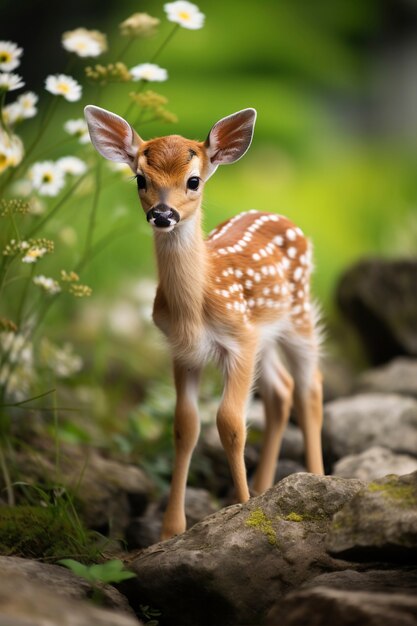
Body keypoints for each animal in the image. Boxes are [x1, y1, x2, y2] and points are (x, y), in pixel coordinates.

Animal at [84, 105, 324, 540]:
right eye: (140, 179)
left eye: (193, 181)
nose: (163, 214)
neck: (195, 309)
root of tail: (285, 218)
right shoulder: (182, 351)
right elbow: (185, 426)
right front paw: (170, 530)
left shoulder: (239, 340)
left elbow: (230, 423)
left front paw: (243, 509)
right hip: (266, 334)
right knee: (280, 390)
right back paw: (265, 487)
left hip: (297, 313)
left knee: (309, 387)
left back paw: (316, 477)